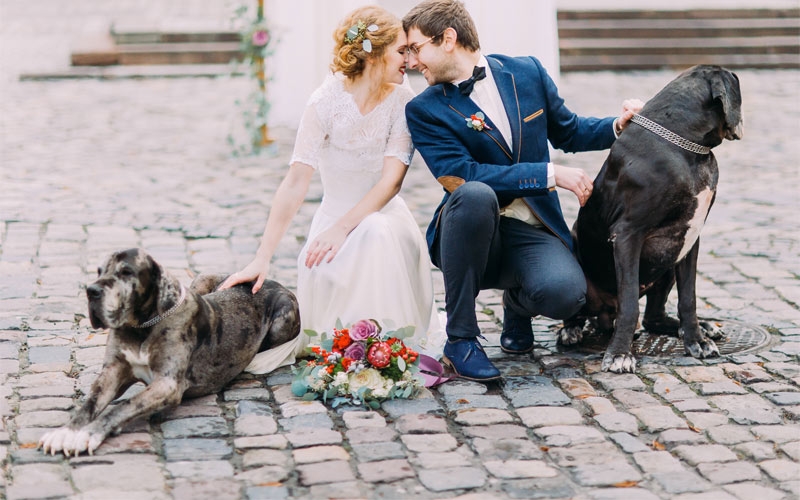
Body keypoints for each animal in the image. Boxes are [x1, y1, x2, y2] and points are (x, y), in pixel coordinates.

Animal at [39, 248, 300, 456]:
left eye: (126, 272)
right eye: (99, 270)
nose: (91, 291)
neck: (141, 327)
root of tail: (269, 281)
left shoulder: (167, 384)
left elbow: (125, 405)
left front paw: (89, 434)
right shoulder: (111, 373)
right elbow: (89, 404)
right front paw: (66, 432)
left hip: (283, 319)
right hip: (202, 278)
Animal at [556, 65, 744, 372]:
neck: (687, 148)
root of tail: (605, 314)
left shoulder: (689, 239)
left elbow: (688, 298)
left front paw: (697, 340)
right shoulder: (627, 235)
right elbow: (630, 302)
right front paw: (619, 355)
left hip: (667, 261)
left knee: (653, 318)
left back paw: (702, 327)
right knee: (587, 311)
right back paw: (571, 330)